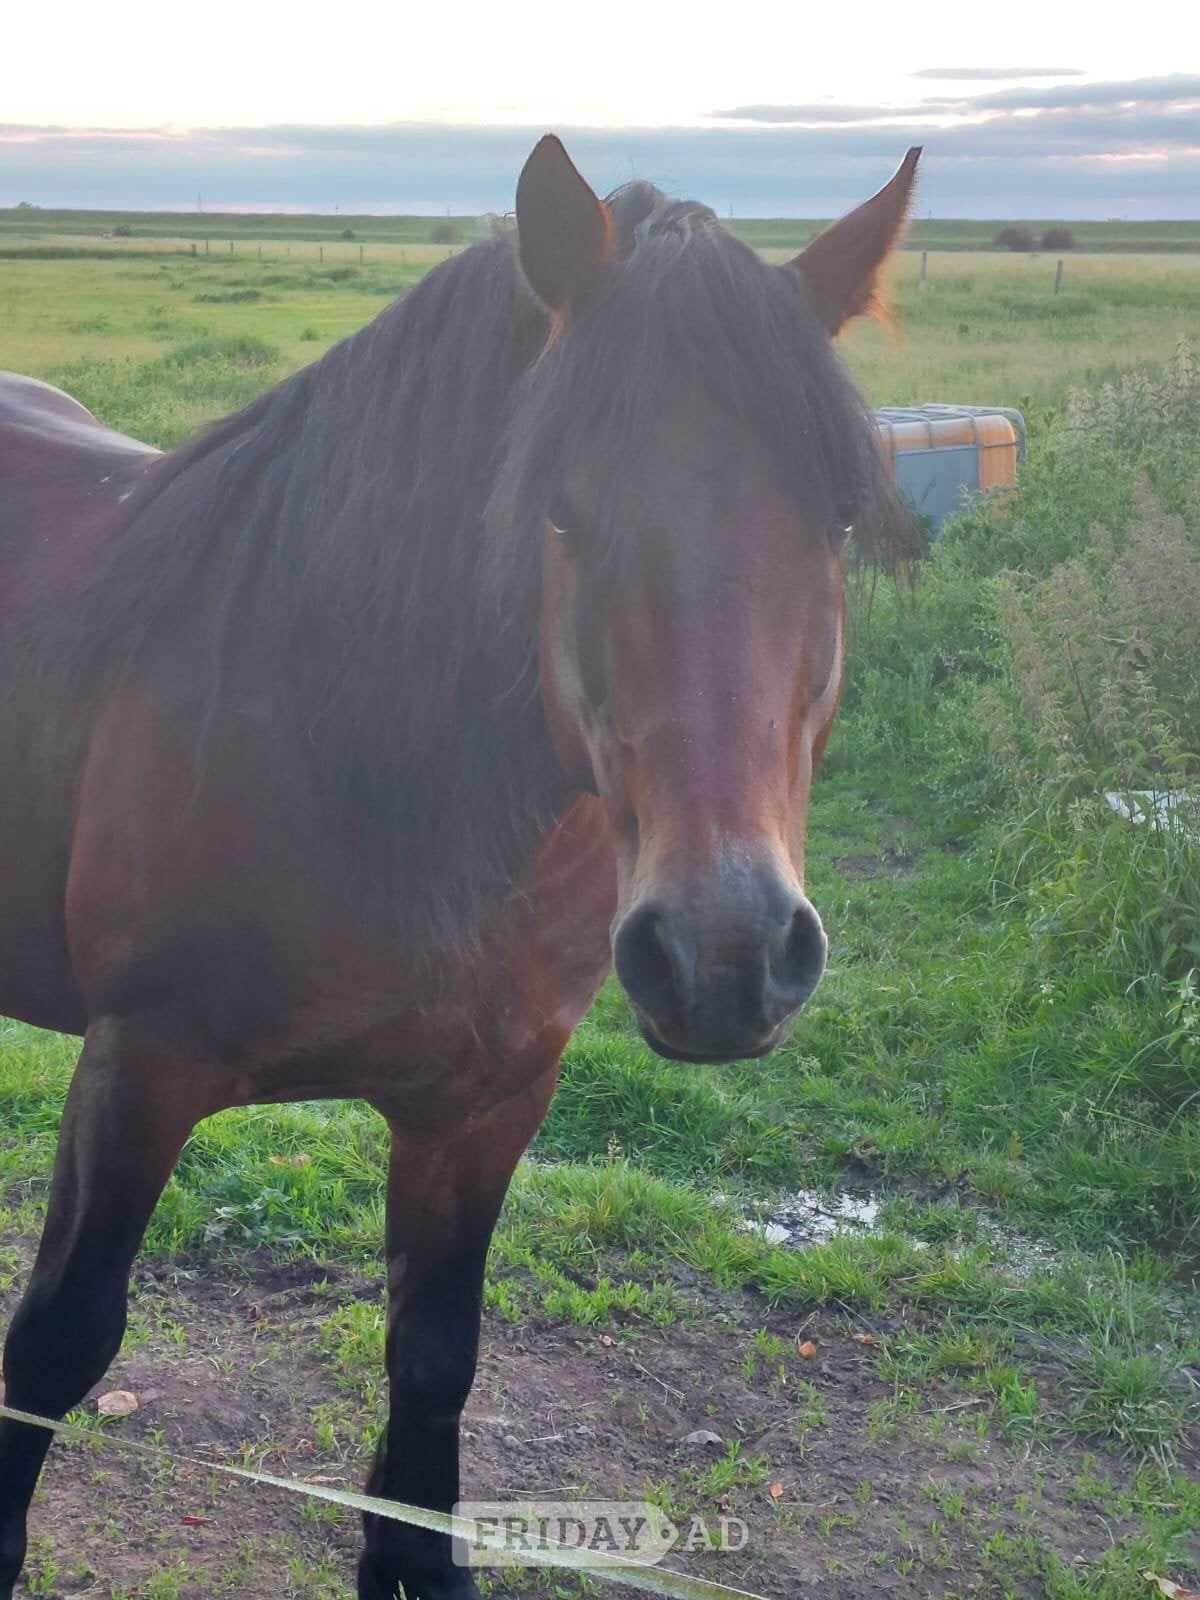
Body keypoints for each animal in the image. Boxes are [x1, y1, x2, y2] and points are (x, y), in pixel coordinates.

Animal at [0, 136, 919, 1599]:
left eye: (836, 518)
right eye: (561, 511)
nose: (724, 954)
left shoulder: (486, 1104)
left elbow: (434, 1363)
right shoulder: (134, 1070)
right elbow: (55, 1345)